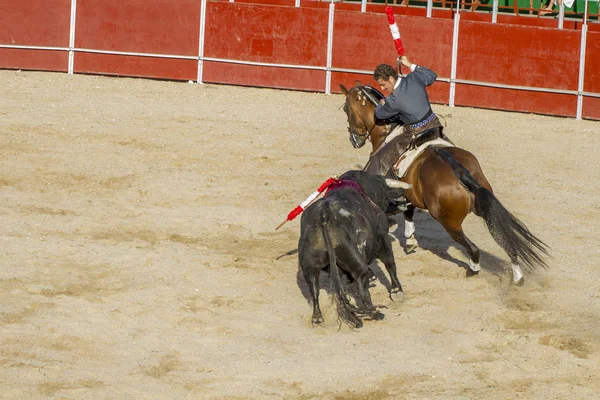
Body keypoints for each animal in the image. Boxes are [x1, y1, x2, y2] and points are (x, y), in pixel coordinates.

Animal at [298, 170, 410, 328]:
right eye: (386, 196)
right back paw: (374, 312)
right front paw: (397, 291)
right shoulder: (383, 239)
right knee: (363, 288)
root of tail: (324, 215)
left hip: (309, 266)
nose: (403, 203)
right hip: (356, 263)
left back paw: (317, 318)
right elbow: (390, 264)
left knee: (314, 288)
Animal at [338, 83, 548, 284]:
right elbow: (408, 210)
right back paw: (517, 276)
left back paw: (473, 269)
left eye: (346, 108)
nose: (354, 139)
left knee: (473, 248)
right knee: (504, 239)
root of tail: (458, 170)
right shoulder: (410, 193)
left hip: (449, 222)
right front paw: (410, 239)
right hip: (484, 208)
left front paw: (408, 238)